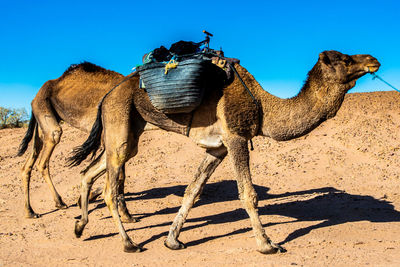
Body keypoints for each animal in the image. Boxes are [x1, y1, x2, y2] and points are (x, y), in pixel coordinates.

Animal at [17, 61, 136, 223]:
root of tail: (34, 98)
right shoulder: (110, 136)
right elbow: (120, 175)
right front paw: (126, 214)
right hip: (45, 113)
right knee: (44, 158)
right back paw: (59, 203)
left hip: (40, 125)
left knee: (27, 164)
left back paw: (30, 211)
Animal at [69, 50, 382, 255]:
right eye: (345, 59)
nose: (373, 60)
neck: (263, 107)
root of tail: (107, 95)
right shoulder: (236, 138)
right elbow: (248, 193)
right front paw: (267, 244)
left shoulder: (217, 149)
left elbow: (192, 191)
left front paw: (172, 240)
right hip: (119, 119)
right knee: (109, 188)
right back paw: (129, 243)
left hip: (129, 130)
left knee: (90, 170)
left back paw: (80, 227)